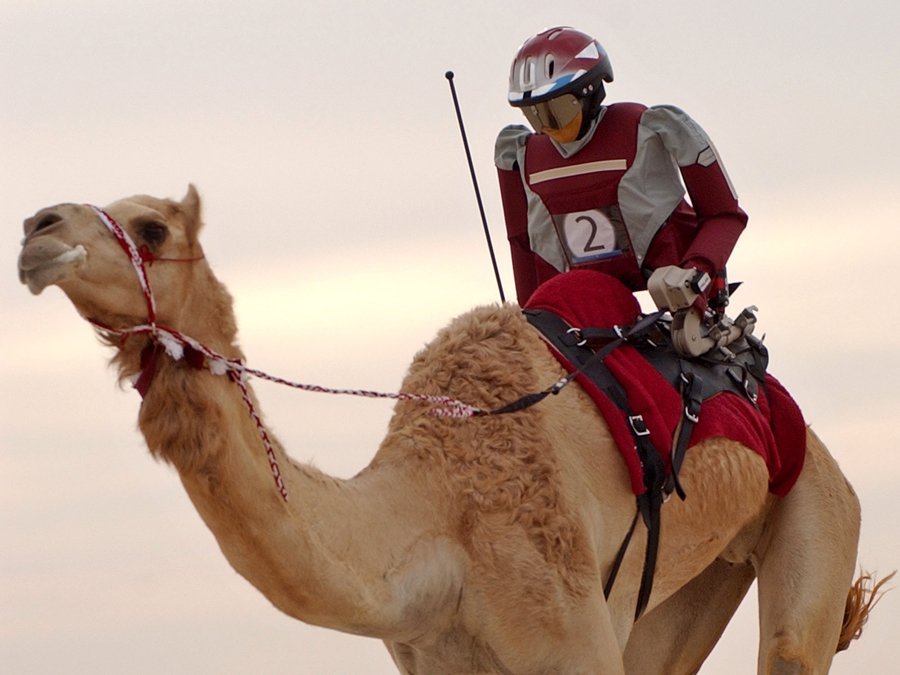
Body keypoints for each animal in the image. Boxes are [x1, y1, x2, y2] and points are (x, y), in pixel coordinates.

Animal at [17, 186, 888, 675]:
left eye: (152, 228)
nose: (34, 228)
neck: (437, 516)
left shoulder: (571, 638)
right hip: (692, 578)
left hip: (817, 502)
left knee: (792, 647)